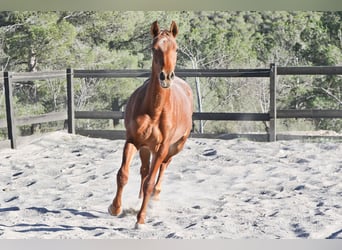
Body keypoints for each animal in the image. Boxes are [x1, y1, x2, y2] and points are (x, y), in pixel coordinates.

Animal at [108, 21, 194, 225]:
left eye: (176, 49)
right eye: (154, 49)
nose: (166, 77)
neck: (154, 110)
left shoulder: (162, 148)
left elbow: (150, 182)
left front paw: (141, 218)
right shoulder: (132, 141)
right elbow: (123, 174)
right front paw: (115, 208)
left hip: (174, 147)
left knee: (162, 169)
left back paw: (155, 196)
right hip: (147, 148)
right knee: (145, 170)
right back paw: (139, 198)